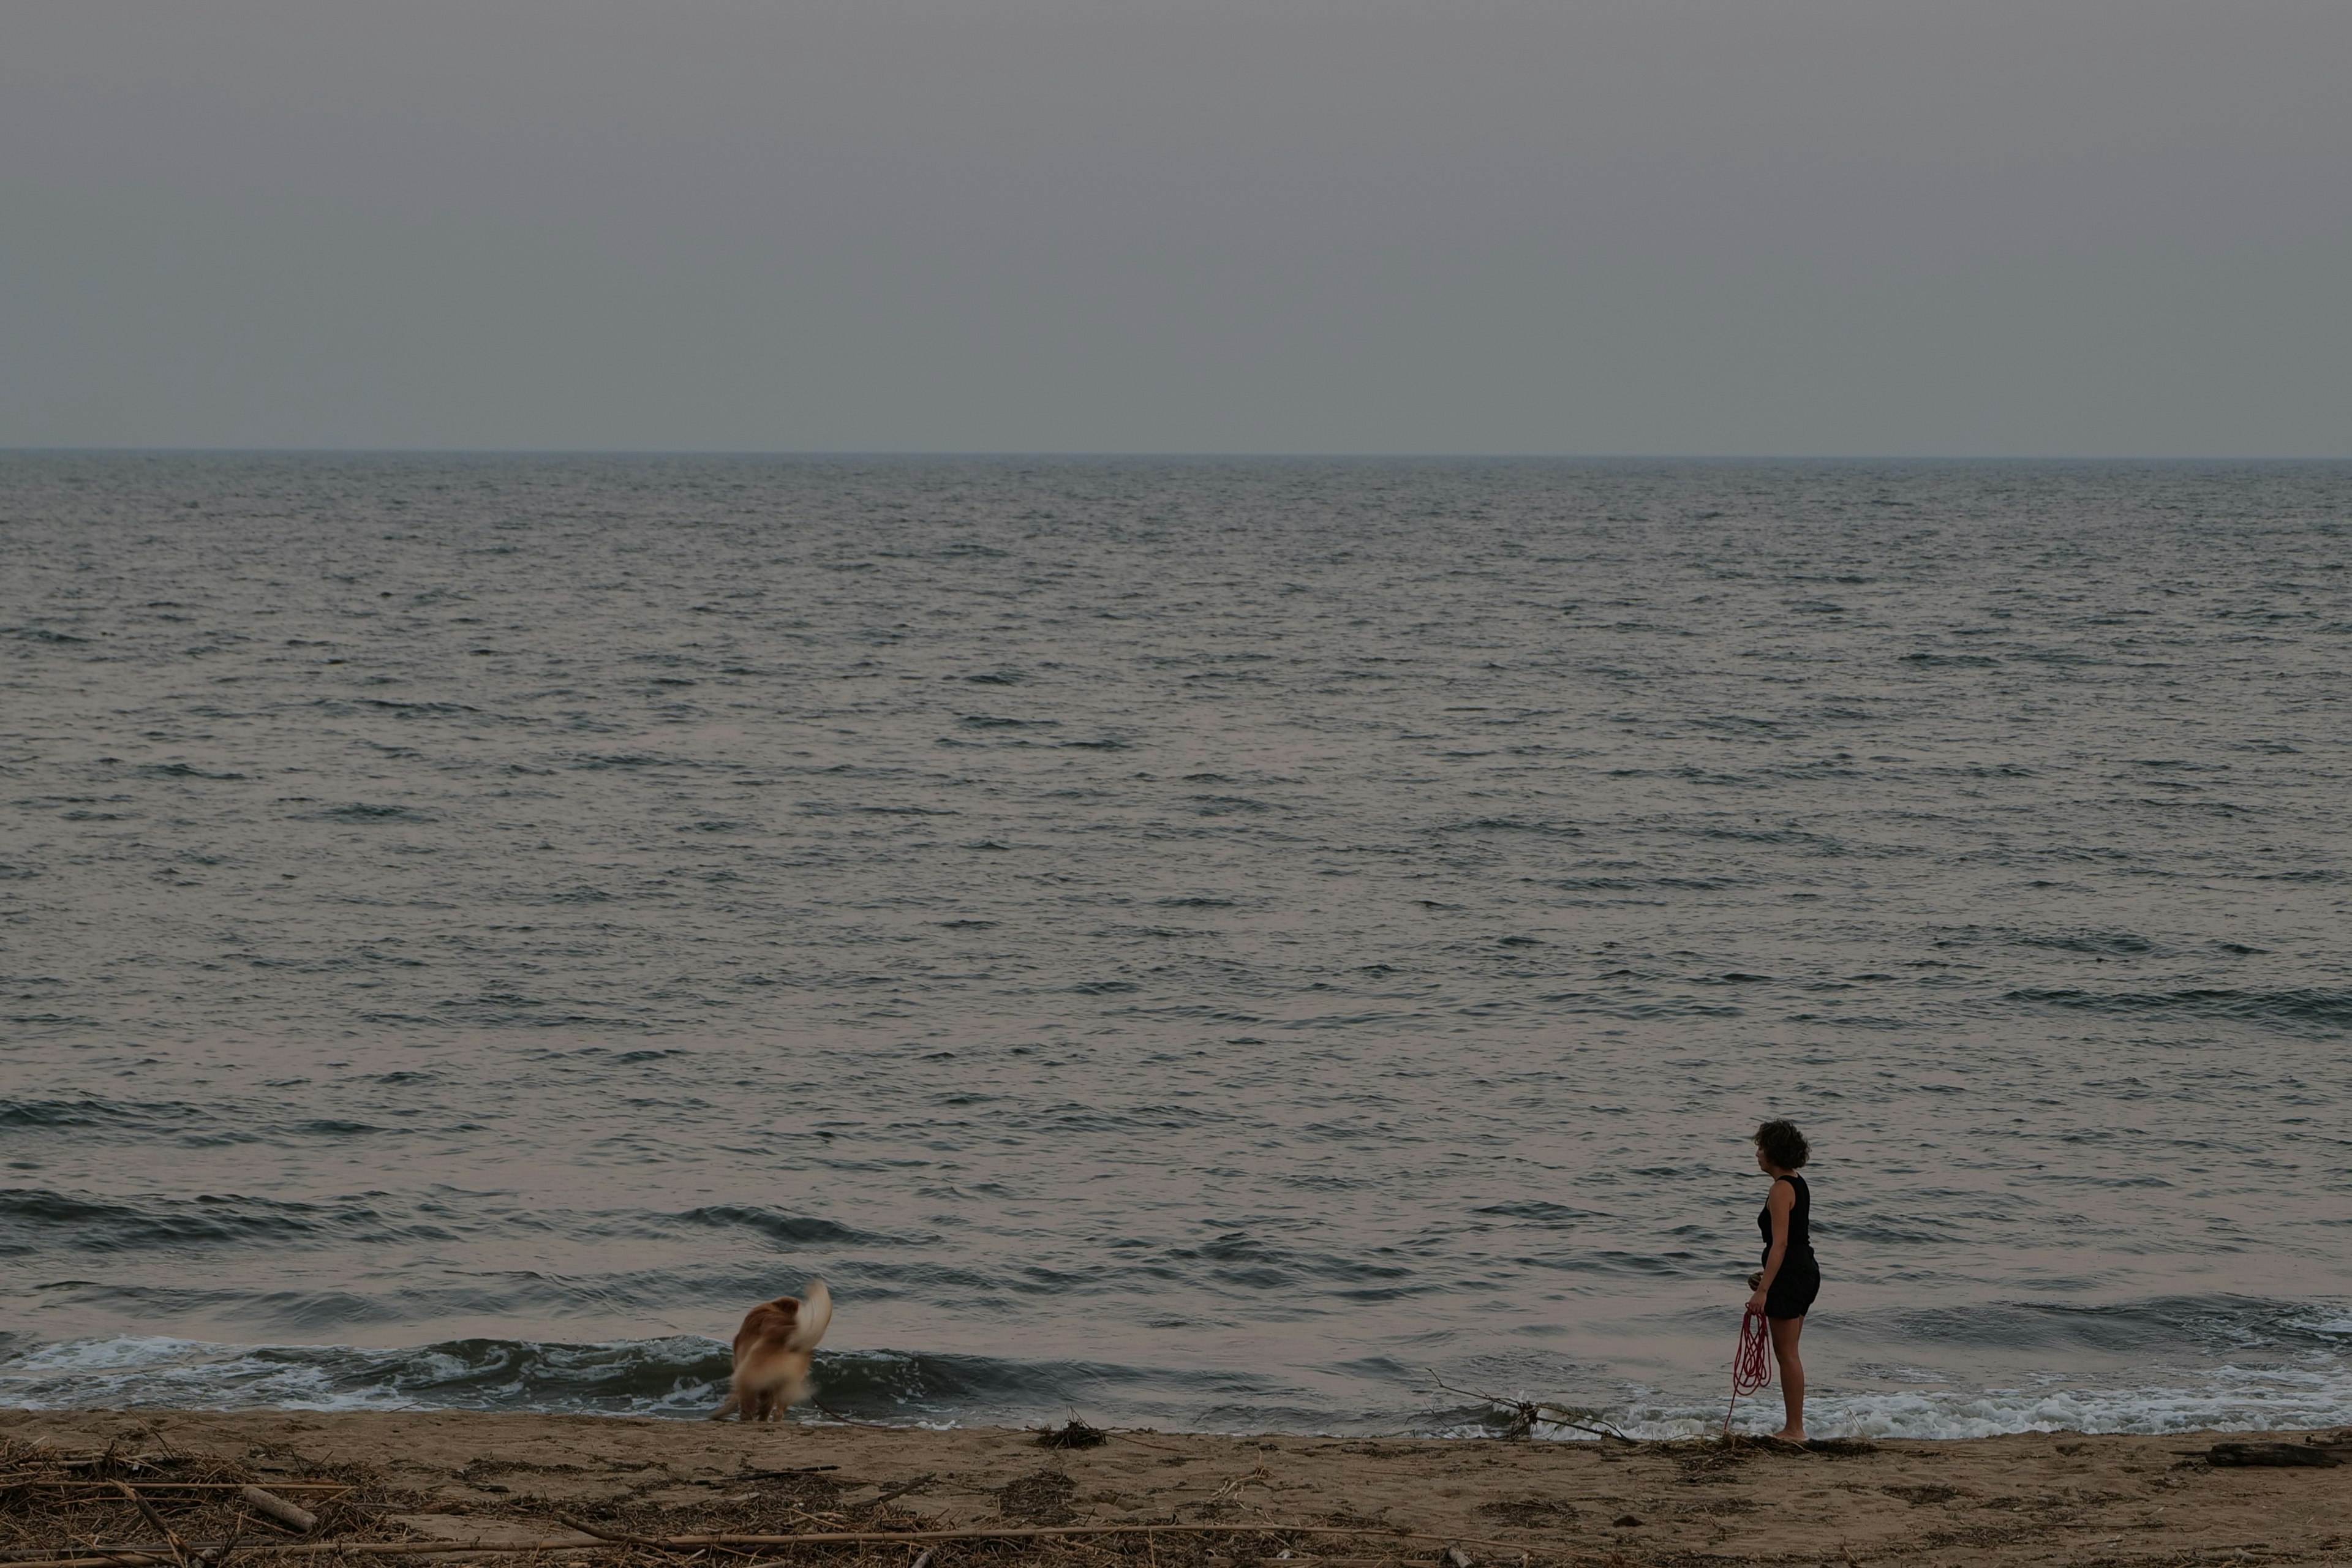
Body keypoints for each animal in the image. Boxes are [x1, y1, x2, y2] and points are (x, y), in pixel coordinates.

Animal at [706, 1278, 837, 1429]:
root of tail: (790, 1336)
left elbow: (735, 1396)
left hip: (747, 1374)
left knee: (747, 1404)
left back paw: (738, 1418)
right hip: (788, 1384)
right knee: (777, 1411)